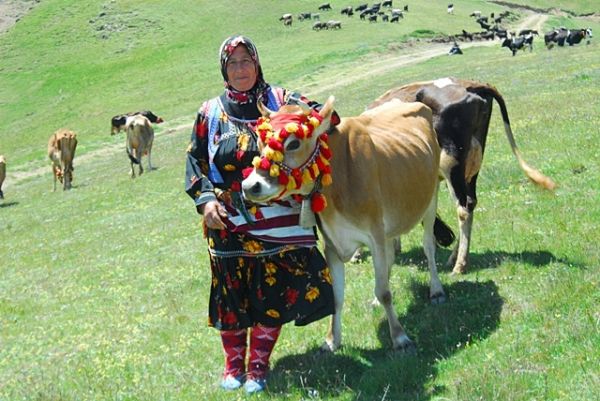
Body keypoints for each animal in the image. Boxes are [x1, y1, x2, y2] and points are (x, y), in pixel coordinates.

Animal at [244, 96, 446, 350]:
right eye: (260, 142)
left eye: (293, 143)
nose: (250, 185)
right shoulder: (332, 244)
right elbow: (337, 297)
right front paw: (332, 340)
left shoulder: (374, 235)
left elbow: (385, 291)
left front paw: (399, 337)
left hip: (431, 197)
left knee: (428, 246)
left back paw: (436, 290)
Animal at [368, 76, 556, 274]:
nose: (445, 239)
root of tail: (472, 85)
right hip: (473, 163)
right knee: (471, 203)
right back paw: (453, 257)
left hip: (451, 163)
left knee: (463, 209)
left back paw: (460, 264)